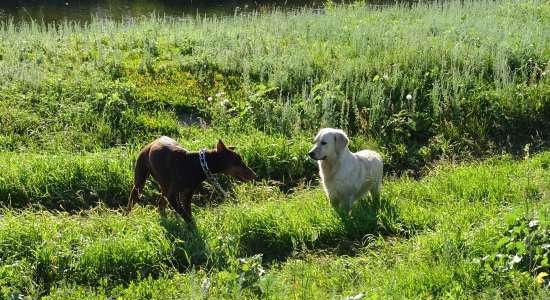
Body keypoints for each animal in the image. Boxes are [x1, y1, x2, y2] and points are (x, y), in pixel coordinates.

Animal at [126, 136, 256, 223]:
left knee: (161, 204)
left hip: (165, 187)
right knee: (133, 201)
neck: (197, 165)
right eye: (238, 161)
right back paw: (126, 218)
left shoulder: (186, 195)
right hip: (140, 182)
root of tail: (152, 142)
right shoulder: (173, 196)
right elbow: (185, 216)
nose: (255, 175)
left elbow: (188, 213)